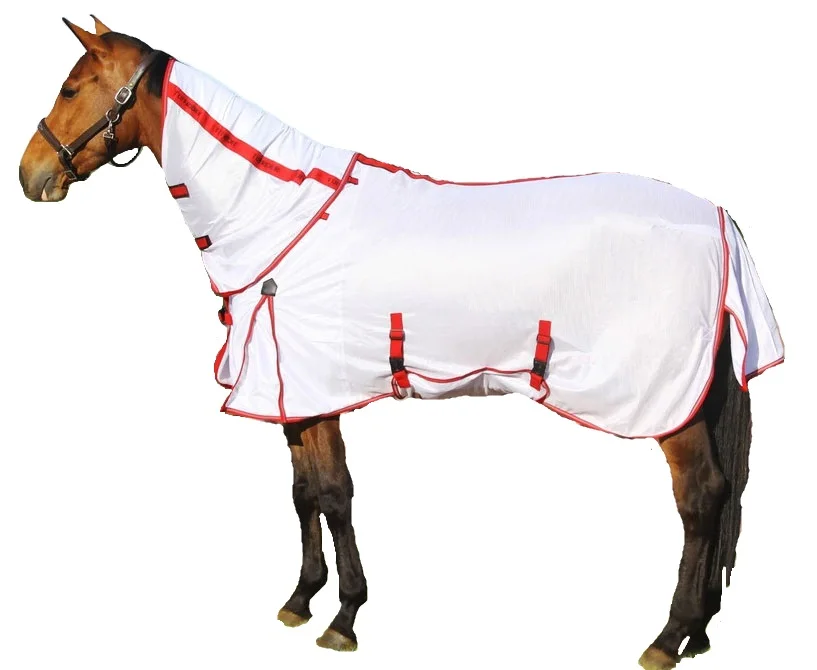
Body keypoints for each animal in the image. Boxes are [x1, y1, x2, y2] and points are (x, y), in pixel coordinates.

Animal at [18, 17, 784, 670]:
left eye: (70, 88)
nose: (31, 176)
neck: (282, 216)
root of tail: (718, 218)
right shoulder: (291, 392)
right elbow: (303, 493)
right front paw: (300, 600)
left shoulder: (315, 384)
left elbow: (334, 493)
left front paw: (344, 617)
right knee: (719, 499)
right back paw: (698, 631)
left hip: (669, 405)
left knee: (700, 500)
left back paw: (666, 635)